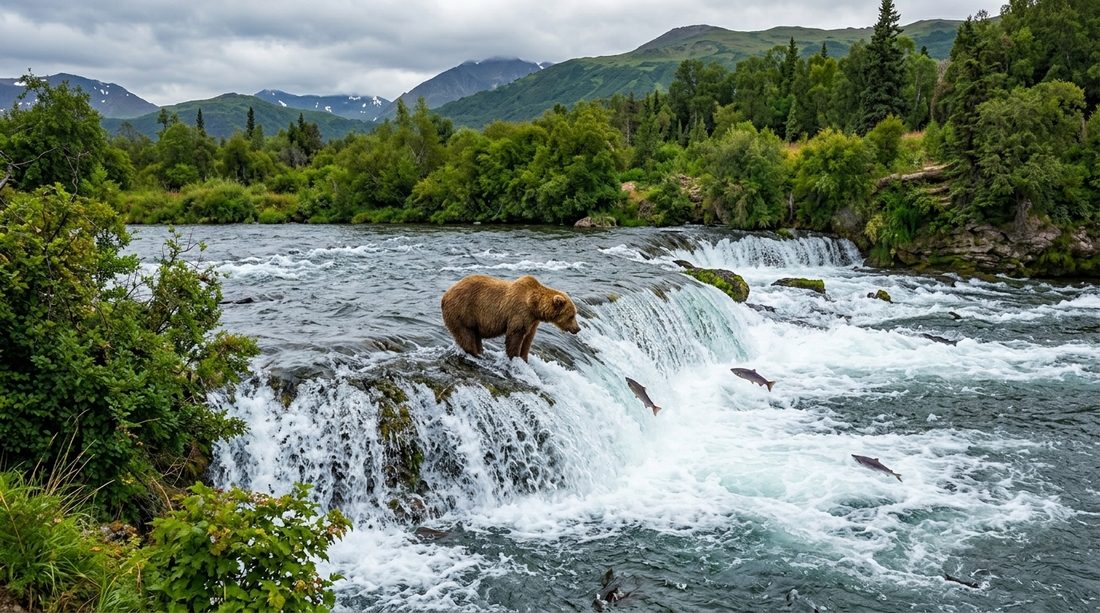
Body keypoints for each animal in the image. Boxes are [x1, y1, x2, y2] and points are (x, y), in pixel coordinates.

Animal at [441, 274, 581, 362]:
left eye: (575, 314)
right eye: (571, 316)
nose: (578, 328)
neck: (534, 306)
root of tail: (445, 295)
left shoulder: (532, 321)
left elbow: (528, 339)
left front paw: (524, 358)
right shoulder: (519, 312)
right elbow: (515, 335)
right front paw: (514, 357)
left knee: (474, 335)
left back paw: (480, 353)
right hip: (462, 311)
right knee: (465, 334)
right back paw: (475, 354)